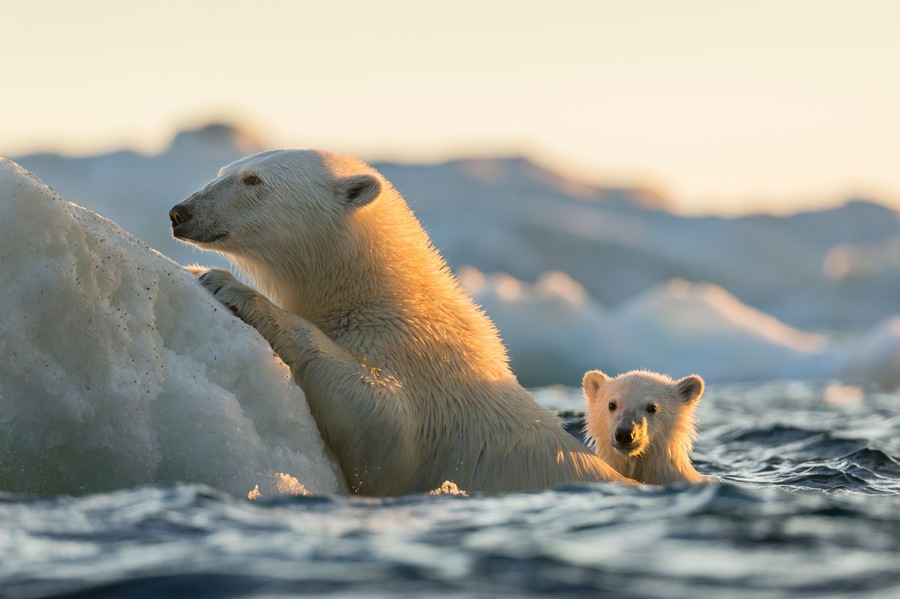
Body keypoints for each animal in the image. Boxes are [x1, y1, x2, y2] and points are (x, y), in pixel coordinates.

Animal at [169, 149, 633, 495]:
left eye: (253, 180)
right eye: (223, 172)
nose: (180, 212)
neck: (381, 295)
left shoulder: (419, 367)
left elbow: (383, 428)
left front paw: (224, 283)